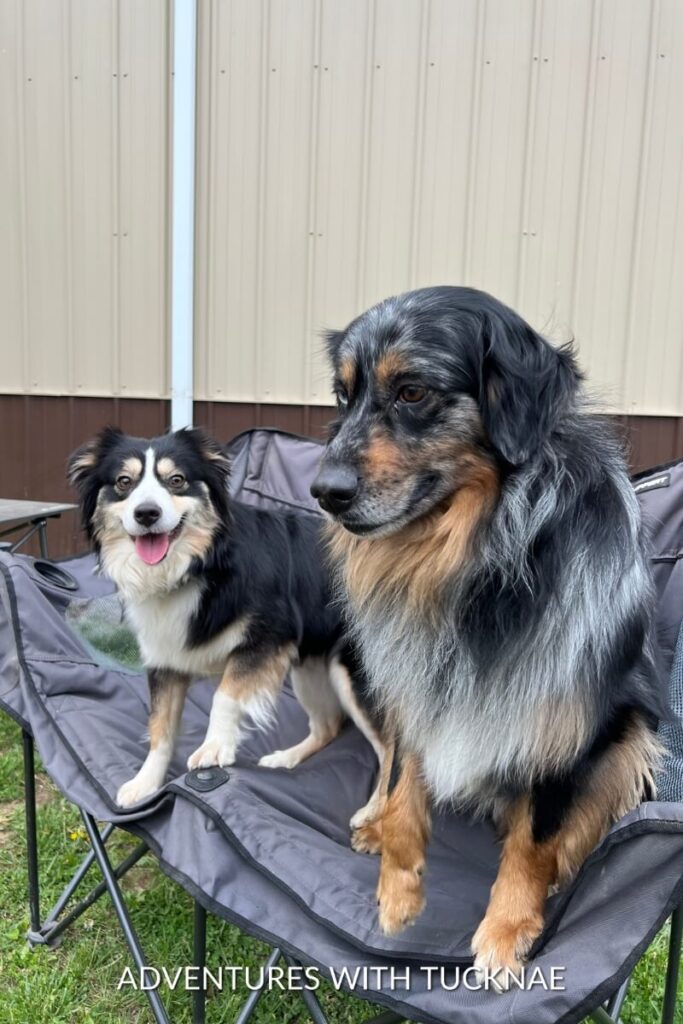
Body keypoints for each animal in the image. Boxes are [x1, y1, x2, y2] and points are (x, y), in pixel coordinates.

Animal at [68, 423, 385, 806]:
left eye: (177, 480)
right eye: (123, 482)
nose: (146, 514)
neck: (199, 564)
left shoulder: (267, 639)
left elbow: (225, 695)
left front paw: (214, 747)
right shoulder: (165, 659)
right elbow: (160, 726)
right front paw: (145, 783)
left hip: (356, 678)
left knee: (397, 755)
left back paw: (376, 812)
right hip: (311, 669)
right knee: (329, 726)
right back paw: (286, 759)